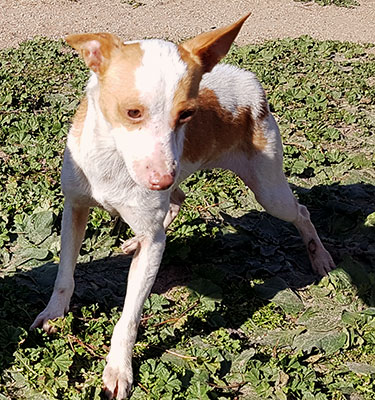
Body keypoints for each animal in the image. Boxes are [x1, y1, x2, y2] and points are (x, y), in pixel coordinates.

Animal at [30, 13, 336, 400]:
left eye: (187, 114)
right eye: (132, 112)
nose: (161, 178)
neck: (114, 161)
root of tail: (249, 81)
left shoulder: (152, 242)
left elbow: (129, 317)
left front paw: (118, 368)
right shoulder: (75, 209)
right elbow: (63, 276)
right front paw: (54, 314)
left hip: (269, 191)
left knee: (301, 212)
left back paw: (320, 257)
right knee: (177, 203)